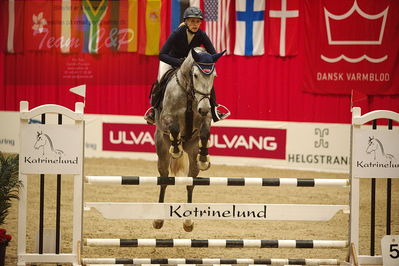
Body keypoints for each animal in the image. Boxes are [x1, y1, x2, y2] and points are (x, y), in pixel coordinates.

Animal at [155, 46, 227, 231]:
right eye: (195, 75)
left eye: (214, 76)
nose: (204, 108)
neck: (189, 93)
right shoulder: (166, 118)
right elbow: (174, 127)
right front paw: (176, 149)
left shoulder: (205, 118)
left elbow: (205, 133)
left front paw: (204, 157)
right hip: (161, 150)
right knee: (164, 180)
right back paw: (158, 220)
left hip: (192, 152)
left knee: (190, 182)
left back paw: (188, 222)